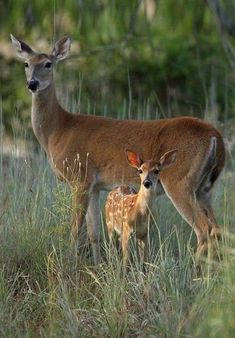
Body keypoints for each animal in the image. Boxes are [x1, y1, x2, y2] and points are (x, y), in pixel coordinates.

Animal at [11, 35, 226, 264]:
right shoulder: (95, 186)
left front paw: (70, 262)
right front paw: (96, 264)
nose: (32, 83)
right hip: (204, 188)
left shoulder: (80, 177)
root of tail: (216, 137)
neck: (57, 131)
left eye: (48, 64)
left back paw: (196, 269)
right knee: (217, 229)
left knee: (204, 229)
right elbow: (93, 232)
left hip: (180, 181)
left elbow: (75, 229)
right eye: (26, 64)